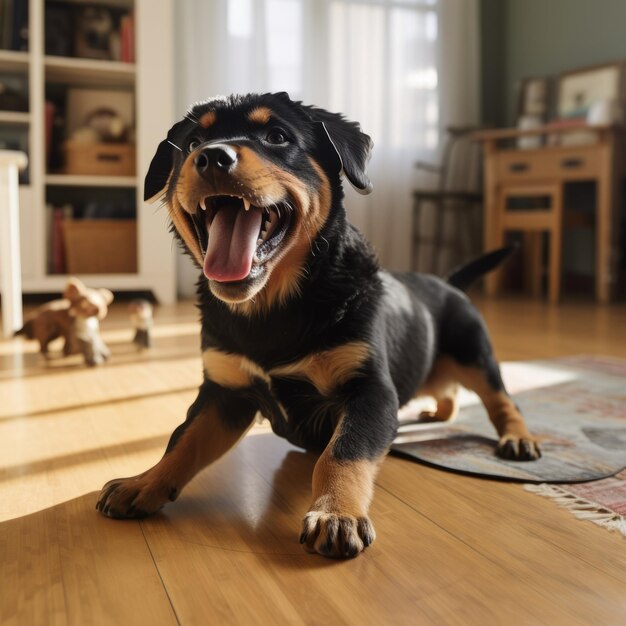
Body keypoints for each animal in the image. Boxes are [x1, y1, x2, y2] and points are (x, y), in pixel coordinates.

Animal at [95, 91, 540, 556]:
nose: (212, 156)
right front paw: (143, 483)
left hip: (475, 351)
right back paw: (437, 410)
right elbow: (182, 441)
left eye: (277, 137)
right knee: (448, 389)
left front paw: (336, 513)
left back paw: (518, 438)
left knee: (502, 399)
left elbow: (343, 452)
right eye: (193, 142)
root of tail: (448, 282)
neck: (271, 309)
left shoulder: (370, 390)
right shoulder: (224, 392)